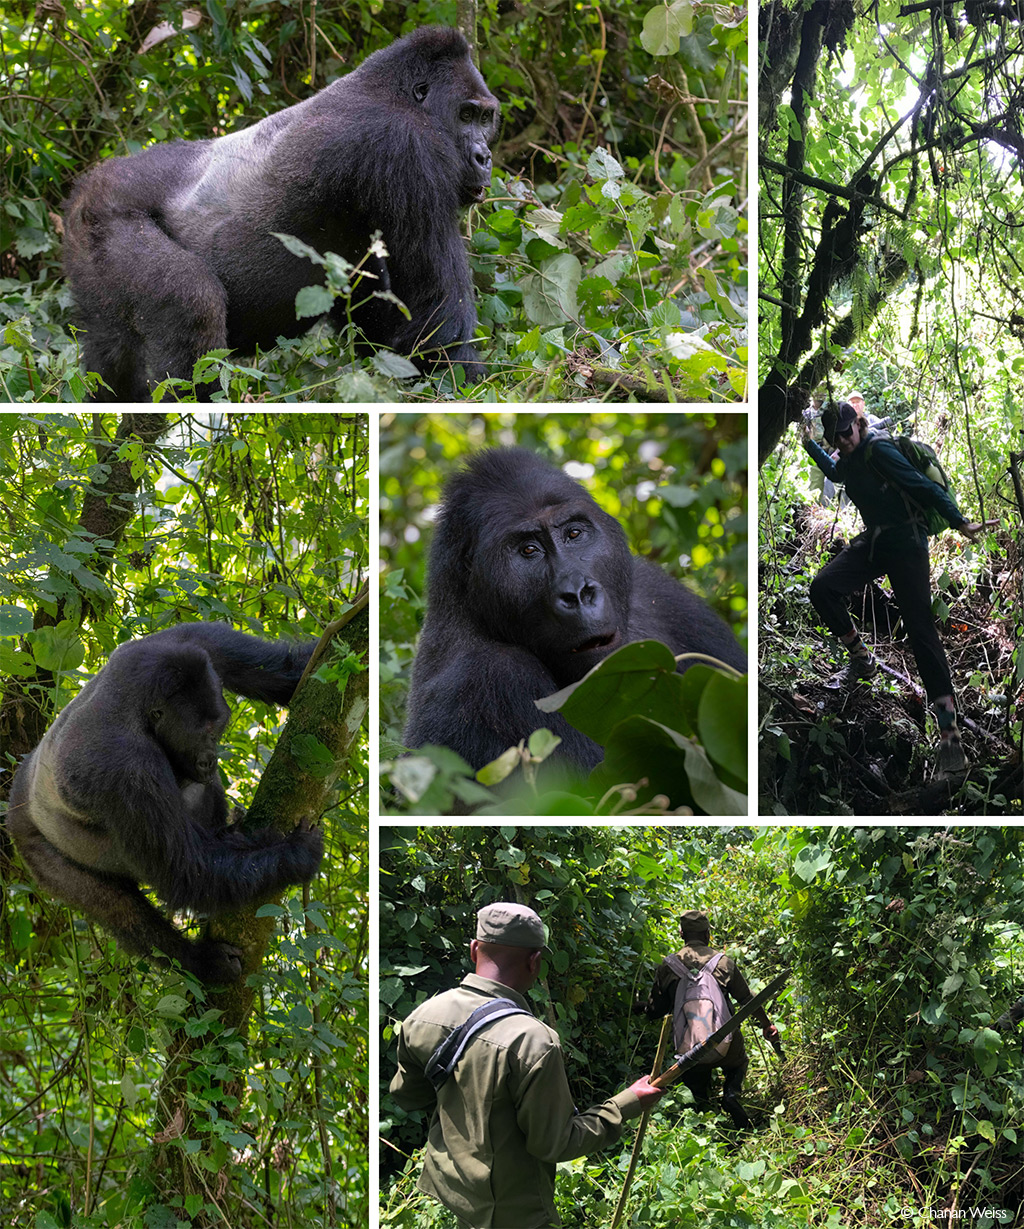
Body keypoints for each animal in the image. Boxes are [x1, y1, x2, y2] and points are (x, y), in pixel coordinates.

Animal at [5, 619, 319, 983]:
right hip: (29, 841)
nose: (210, 760)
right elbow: (187, 872)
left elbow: (291, 671)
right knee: (116, 907)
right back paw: (197, 961)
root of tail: (17, 792)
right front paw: (296, 854)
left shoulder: (191, 642)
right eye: (202, 734)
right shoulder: (126, 767)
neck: (135, 703)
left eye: (219, 728)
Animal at [62, 26, 501, 398]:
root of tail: (86, 185)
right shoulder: (410, 149)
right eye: (466, 115)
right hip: (107, 213)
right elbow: (435, 318)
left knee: (110, 352)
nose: (485, 157)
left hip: (88, 246)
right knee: (191, 303)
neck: (396, 92)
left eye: (486, 118)